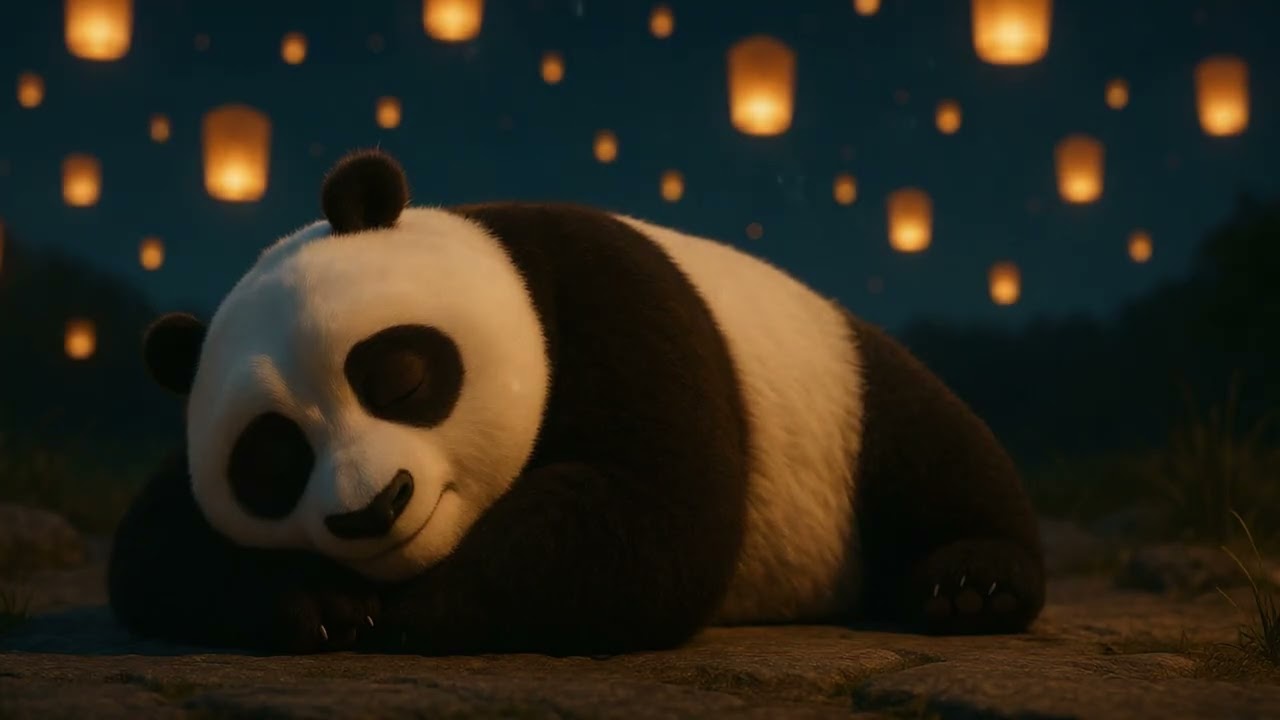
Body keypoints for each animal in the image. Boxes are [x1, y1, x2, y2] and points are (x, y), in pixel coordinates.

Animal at [108, 148, 1046, 656]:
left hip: (839, 387)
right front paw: (324, 606)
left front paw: (425, 611)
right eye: (270, 462)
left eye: (400, 378)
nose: (375, 509)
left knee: (931, 445)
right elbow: (156, 546)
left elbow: (655, 504)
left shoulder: (605, 298)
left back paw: (971, 587)